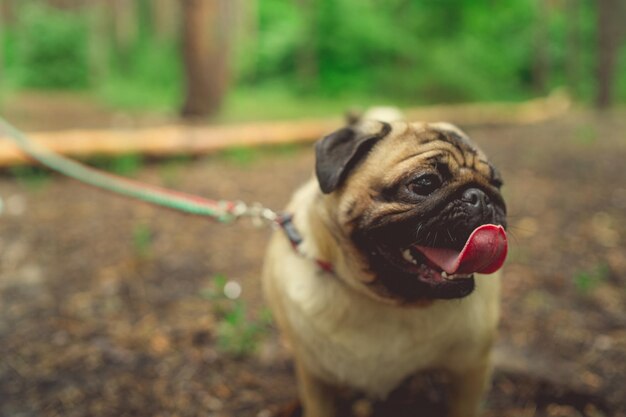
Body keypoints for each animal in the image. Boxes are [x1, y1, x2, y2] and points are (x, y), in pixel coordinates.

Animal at [260, 111, 504, 416]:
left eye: (498, 184)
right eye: (424, 183)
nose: (481, 196)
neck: (390, 303)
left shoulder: (470, 369)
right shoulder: (315, 379)